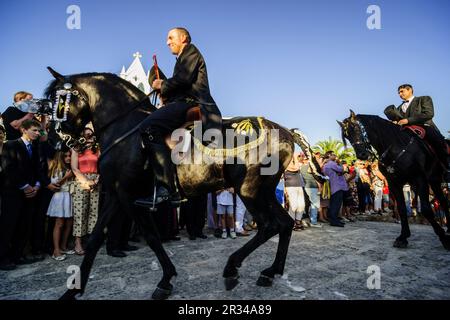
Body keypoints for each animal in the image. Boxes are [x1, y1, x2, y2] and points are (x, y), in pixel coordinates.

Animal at [44, 66, 322, 298]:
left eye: (58, 100)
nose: (56, 140)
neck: (126, 130)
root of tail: (285, 131)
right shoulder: (116, 194)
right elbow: (94, 240)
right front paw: (72, 291)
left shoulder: (129, 195)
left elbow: (151, 237)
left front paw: (165, 280)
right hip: (264, 191)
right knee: (284, 223)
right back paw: (270, 271)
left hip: (250, 189)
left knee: (269, 225)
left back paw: (233, 268)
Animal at [342, 110, 450, 250]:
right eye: (347, 136)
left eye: (355, 128)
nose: (362, 155)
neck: (395, 147)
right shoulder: (394, 184)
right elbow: (402, 209)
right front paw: (403, 237)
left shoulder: (419, 179)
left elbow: (426, 209)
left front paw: (444, 239)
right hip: (434, 181)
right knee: (443, 202)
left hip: (433, 180)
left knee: (443, 202)